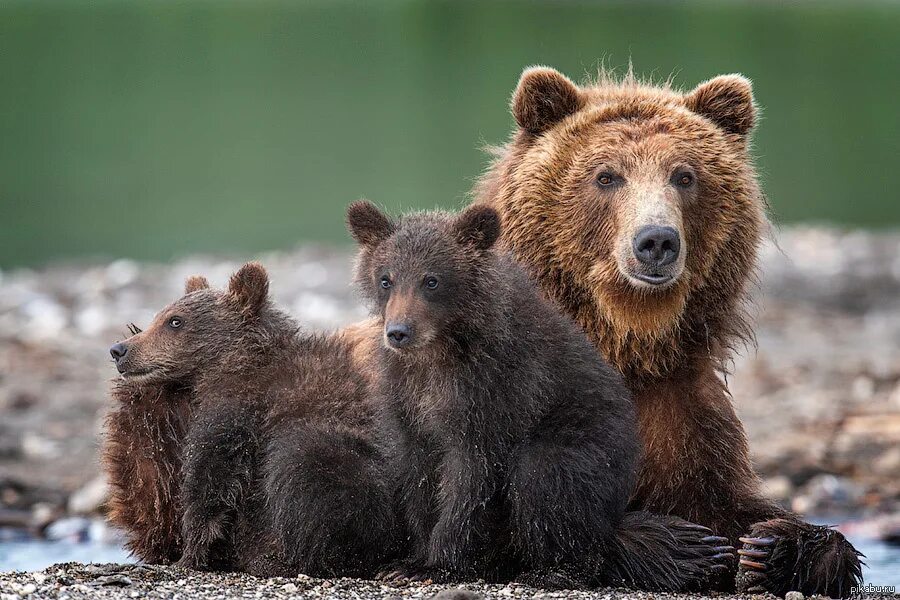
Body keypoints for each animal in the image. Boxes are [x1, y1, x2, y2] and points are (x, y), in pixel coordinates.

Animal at [105, 264, 394, 576]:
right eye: (159, 316)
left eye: (175, 321)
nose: (119, 349)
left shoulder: (237, 406)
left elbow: (210, 478)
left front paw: (189, 555)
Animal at [348, 202, 736, 592]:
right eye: (386, 279)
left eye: (432, 280)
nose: (399, 332)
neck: (440, 350)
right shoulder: (405, 395)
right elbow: (417, 472)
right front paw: (409, 559)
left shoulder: (495, 391)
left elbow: (471, 478)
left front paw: (439, 563)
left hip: (586, 449)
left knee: (544, 477)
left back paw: (556, 569)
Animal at [474, 67, 860, 596]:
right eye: (606, 176)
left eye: (684, 175)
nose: (656, 240)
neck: (626, 339)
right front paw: (686, 547)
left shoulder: (681, 410)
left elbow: (725, 499)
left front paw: (774, 547)